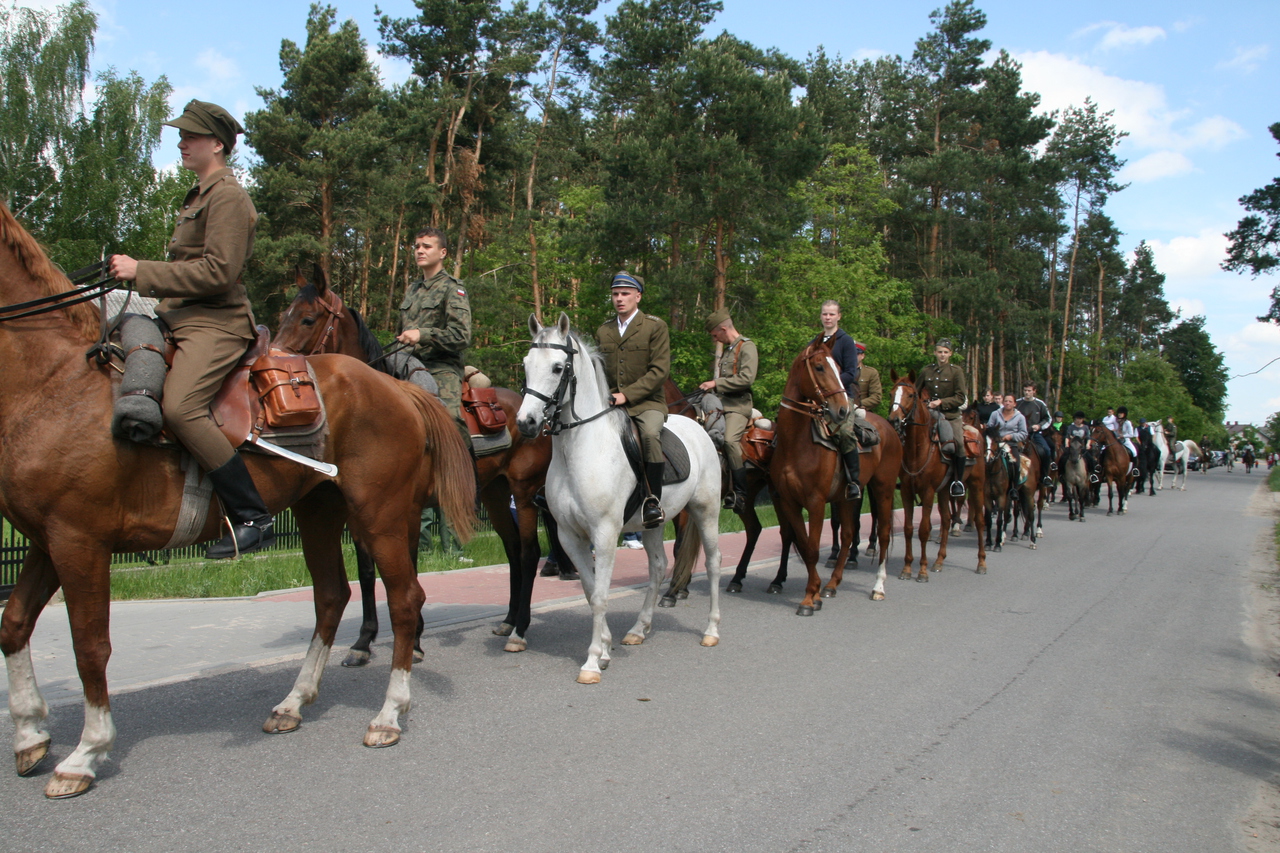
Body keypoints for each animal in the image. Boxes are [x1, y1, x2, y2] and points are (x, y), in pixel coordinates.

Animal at [0, 201, 476, 799]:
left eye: (310, 318)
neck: (55, 382)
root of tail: (399, 389)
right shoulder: (47, 540)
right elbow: (15, 624)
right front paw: (29, 735)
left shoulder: (79, 541)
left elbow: (89, 646)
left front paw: (85, 752)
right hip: (323, 514)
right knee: (332, 597)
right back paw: (294, 702)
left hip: (382, 516)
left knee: (405, 599)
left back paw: (389, 713)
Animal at [275, 272, 576, 655]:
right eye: (284, 314)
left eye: (308, 318)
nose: (273, 363)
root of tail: (540, 417)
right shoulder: (361, 511)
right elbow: (367, 571)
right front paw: (364, 640)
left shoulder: (408, 507)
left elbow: (409, 566)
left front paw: (414, 639)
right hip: (495, 493)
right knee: (511, 550)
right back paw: (508, 619)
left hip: (522, 492)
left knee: (527, 551)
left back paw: (520, 627)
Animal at [514, 313, 727, 686]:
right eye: (526, 364)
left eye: (557, 367)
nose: (526, 423)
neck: (580, 448)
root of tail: (699, 427)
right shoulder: (570, 536)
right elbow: (589, 591)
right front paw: (605, 649)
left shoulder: (604, 532)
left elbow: (600, 596)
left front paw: (591, 662)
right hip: (653, 522)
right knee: (658, 566)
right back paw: (639, 629)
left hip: (706, 511)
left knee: (713, 562)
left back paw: (711, 631)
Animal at [762, 338, 906, 612]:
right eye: (819, 367)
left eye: (839, 368)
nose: (841, 410)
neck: (795, 443)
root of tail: (888, 427)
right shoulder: (789, 502)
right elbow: (805, 545)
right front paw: (816, 591)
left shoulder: (816, 502)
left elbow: (813, 547)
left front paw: (809, 599)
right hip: (846, 498)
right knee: (848, 534)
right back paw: (832, 584)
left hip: (883, 489)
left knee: (882, 534)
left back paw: (878, 587)